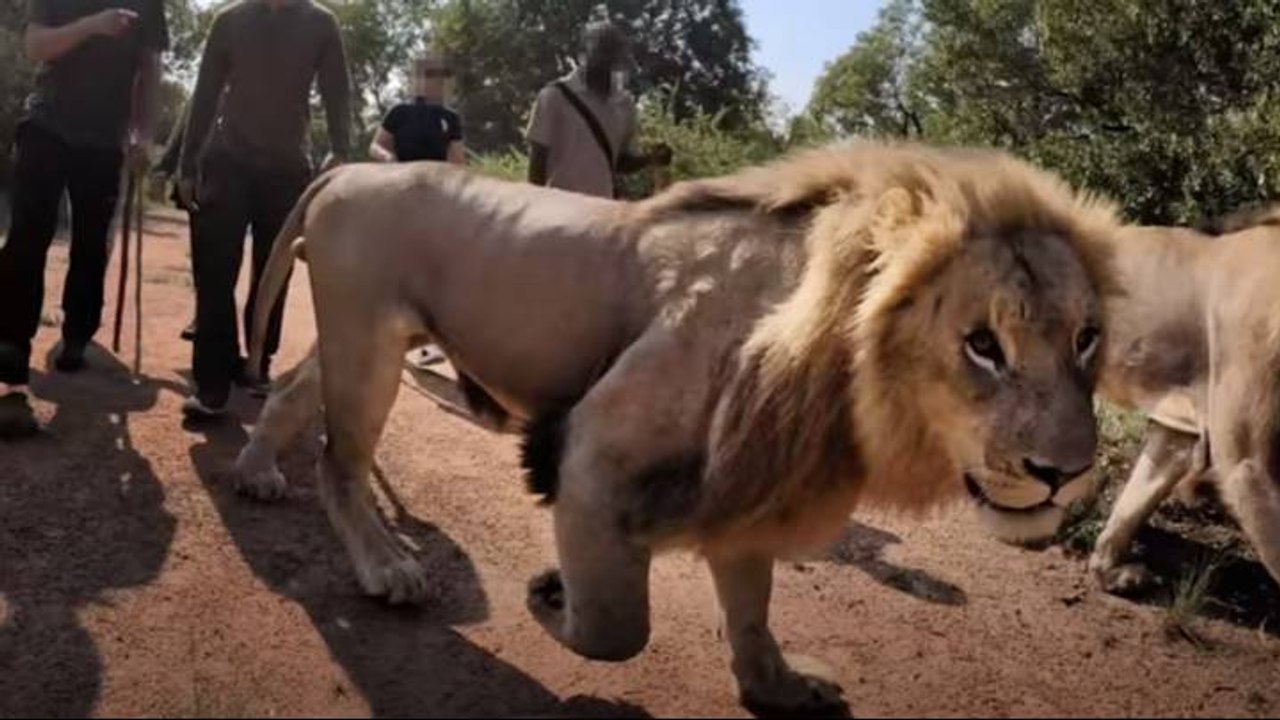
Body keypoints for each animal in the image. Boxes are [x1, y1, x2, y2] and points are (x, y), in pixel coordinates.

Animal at [232, 141, 1118, 716]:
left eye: (1087, 338)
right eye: (983, 344)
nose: (1069, 473)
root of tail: (353, 165)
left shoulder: (754, 482)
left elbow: (753, 608)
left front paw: (780, 689)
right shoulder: (595, 451)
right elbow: (619, 630)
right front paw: (551, 597)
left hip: (364, 339)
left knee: (290, 396)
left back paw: (256, 473)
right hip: (368, 342)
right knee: (340, 460)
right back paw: (388, 567)